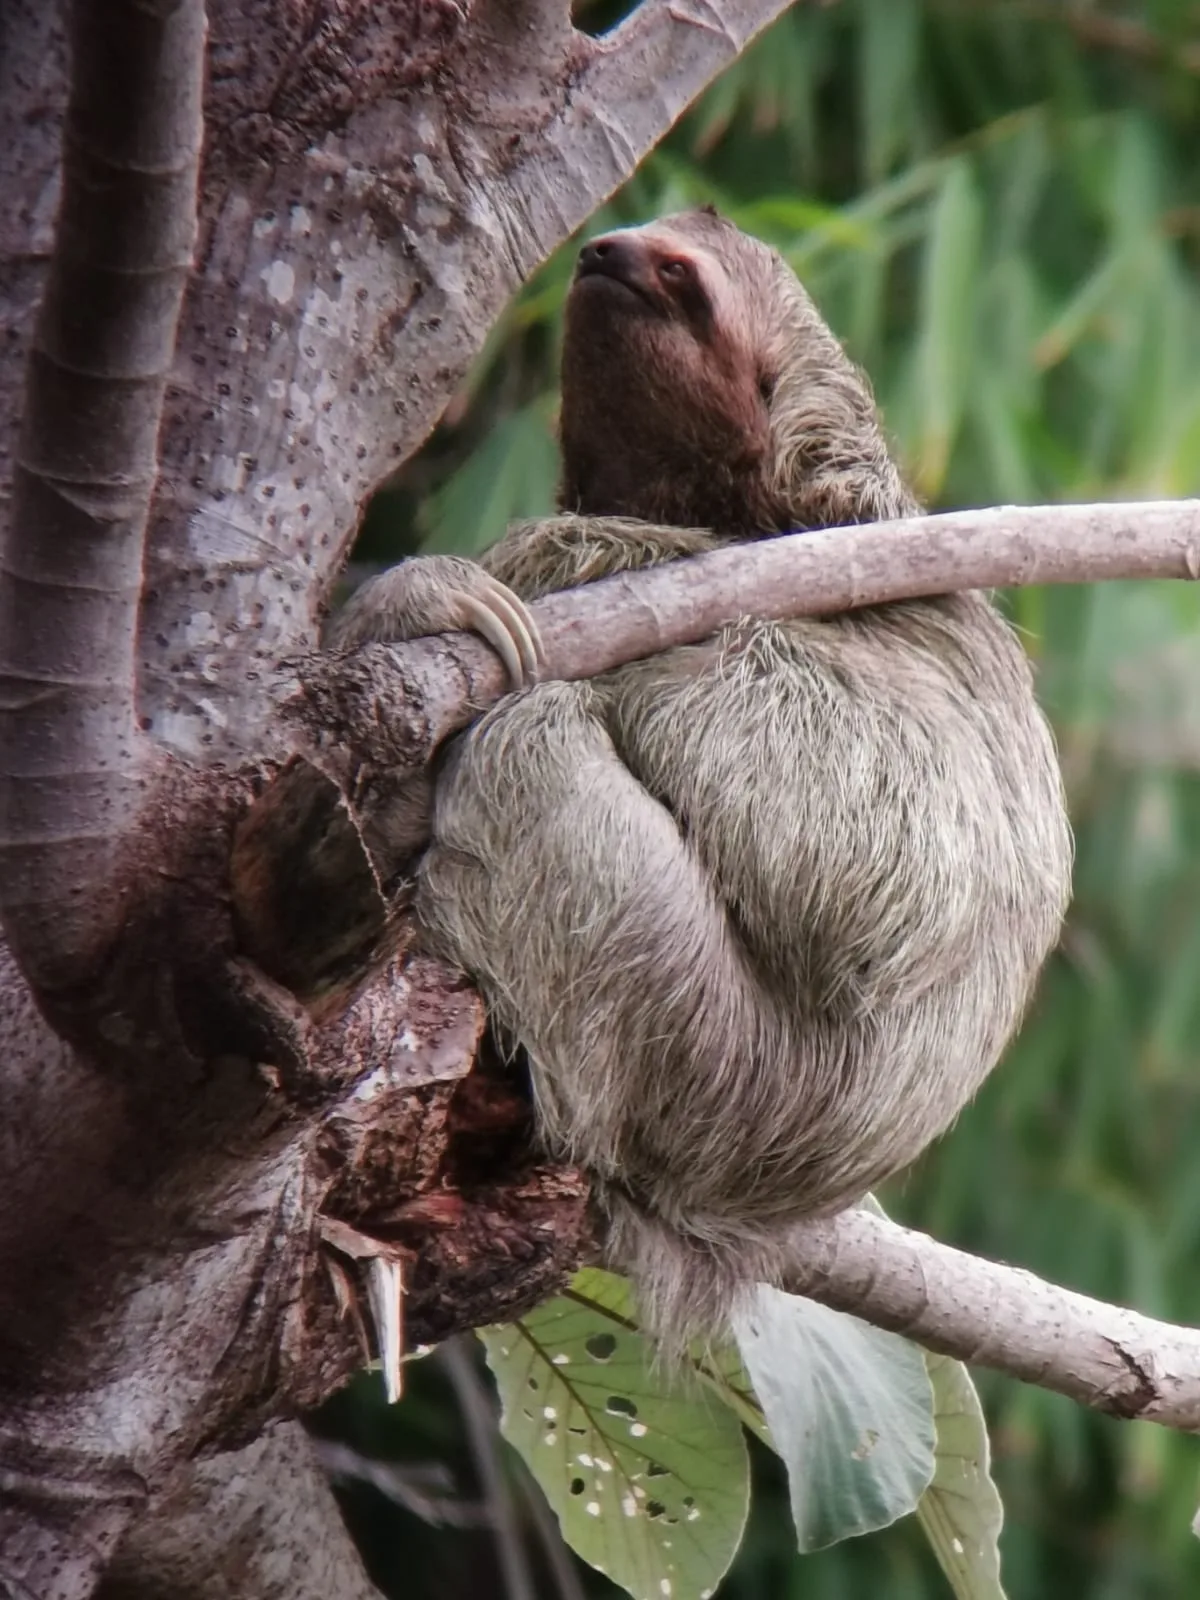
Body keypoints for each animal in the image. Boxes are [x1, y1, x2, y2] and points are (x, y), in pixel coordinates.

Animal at [327, 208, 1073, 1347]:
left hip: (702, 1053)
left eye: (680, 276)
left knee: (534, 749)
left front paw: (506, 572)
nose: (602, 255)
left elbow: (883, 852)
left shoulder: (921, 616)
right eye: (620, 239)